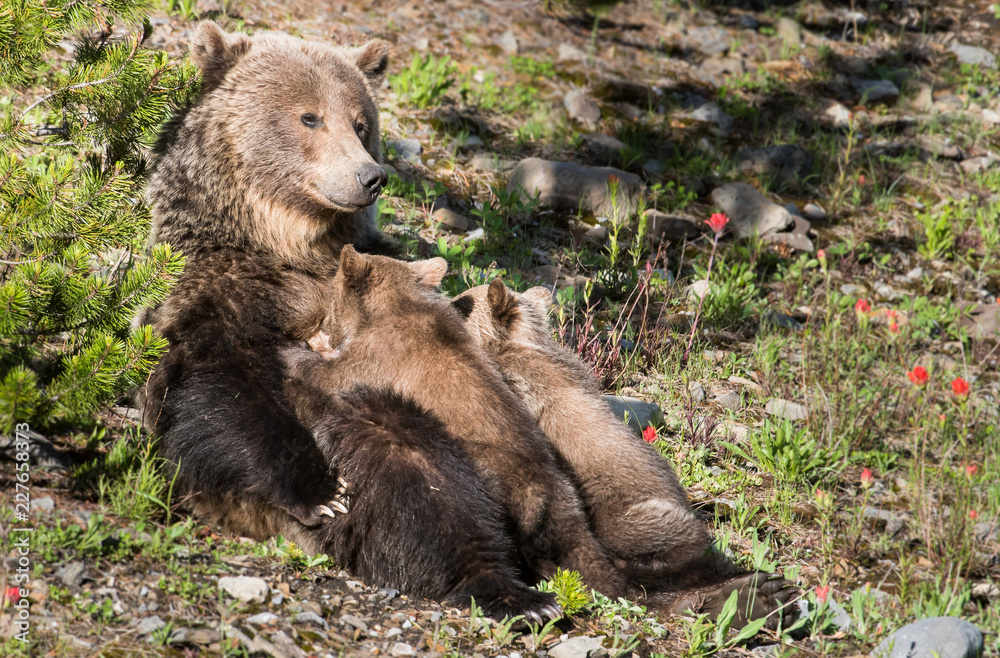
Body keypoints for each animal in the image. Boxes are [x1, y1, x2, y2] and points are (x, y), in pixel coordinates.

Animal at [140, 22, 559, 622]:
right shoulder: (219, 288)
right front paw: (319, 490)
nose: (370, 176)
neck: (289, 243)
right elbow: (220, 385)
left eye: (362, 123)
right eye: (310, 117)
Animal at [283, 246, 625, 601]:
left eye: (332, 296)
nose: (323, 325)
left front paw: (293, 353)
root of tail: (555, 497)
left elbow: (329, 375)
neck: (391, 308)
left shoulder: (375, 357)